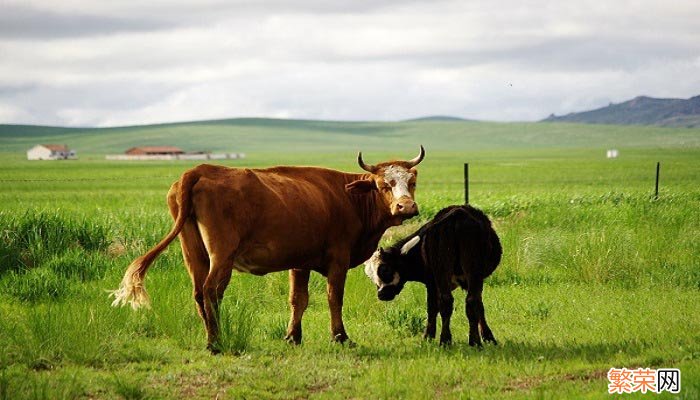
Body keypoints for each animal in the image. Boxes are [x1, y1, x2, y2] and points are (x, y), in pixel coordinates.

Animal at [111, 148, 424, 354]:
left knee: (199, 293)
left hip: (194, 253)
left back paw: (210, 338)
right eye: (383, 184)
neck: (347, 197)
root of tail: (199, 170)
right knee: (212, 291)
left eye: (412, 182)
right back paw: (216, 342)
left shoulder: (300, 262)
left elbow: (298, 299)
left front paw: (293, 337)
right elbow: (334, 298)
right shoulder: (338, 258)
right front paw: (340, 337)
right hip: (222, 254)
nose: (406, 207)